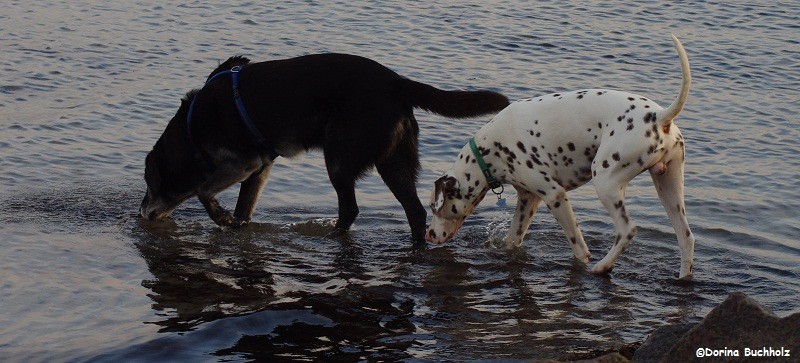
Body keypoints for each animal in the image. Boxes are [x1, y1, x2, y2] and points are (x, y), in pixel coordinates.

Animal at [141, 54, 510, 242]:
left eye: (150, 183)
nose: (143, 213)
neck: (191, 128)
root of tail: (397, 82)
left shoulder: (242, 163)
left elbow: (203, 191)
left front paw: (220, 216)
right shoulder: (260, 167)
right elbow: (243, 208)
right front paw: (235, 227)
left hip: (340, 159)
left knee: (351, 208)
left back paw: (332, 235)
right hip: (394, 162)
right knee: (415, 211)